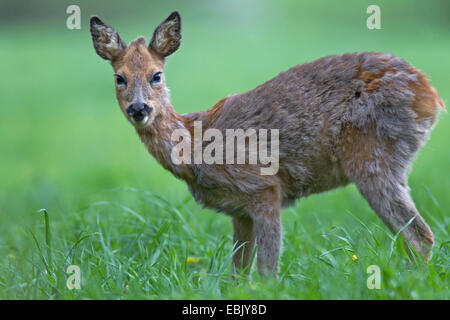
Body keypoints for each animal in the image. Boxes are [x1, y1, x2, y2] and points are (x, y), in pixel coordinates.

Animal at [89, 11, 444, 276]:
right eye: (119, 78)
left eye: (156, 75)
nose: (139, 109)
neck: (194, 143)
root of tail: (431, 96)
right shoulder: (239, 210)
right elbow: (238, 272)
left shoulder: (262, 186)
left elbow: (267, 269)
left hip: (373, 157)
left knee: (420, 236)